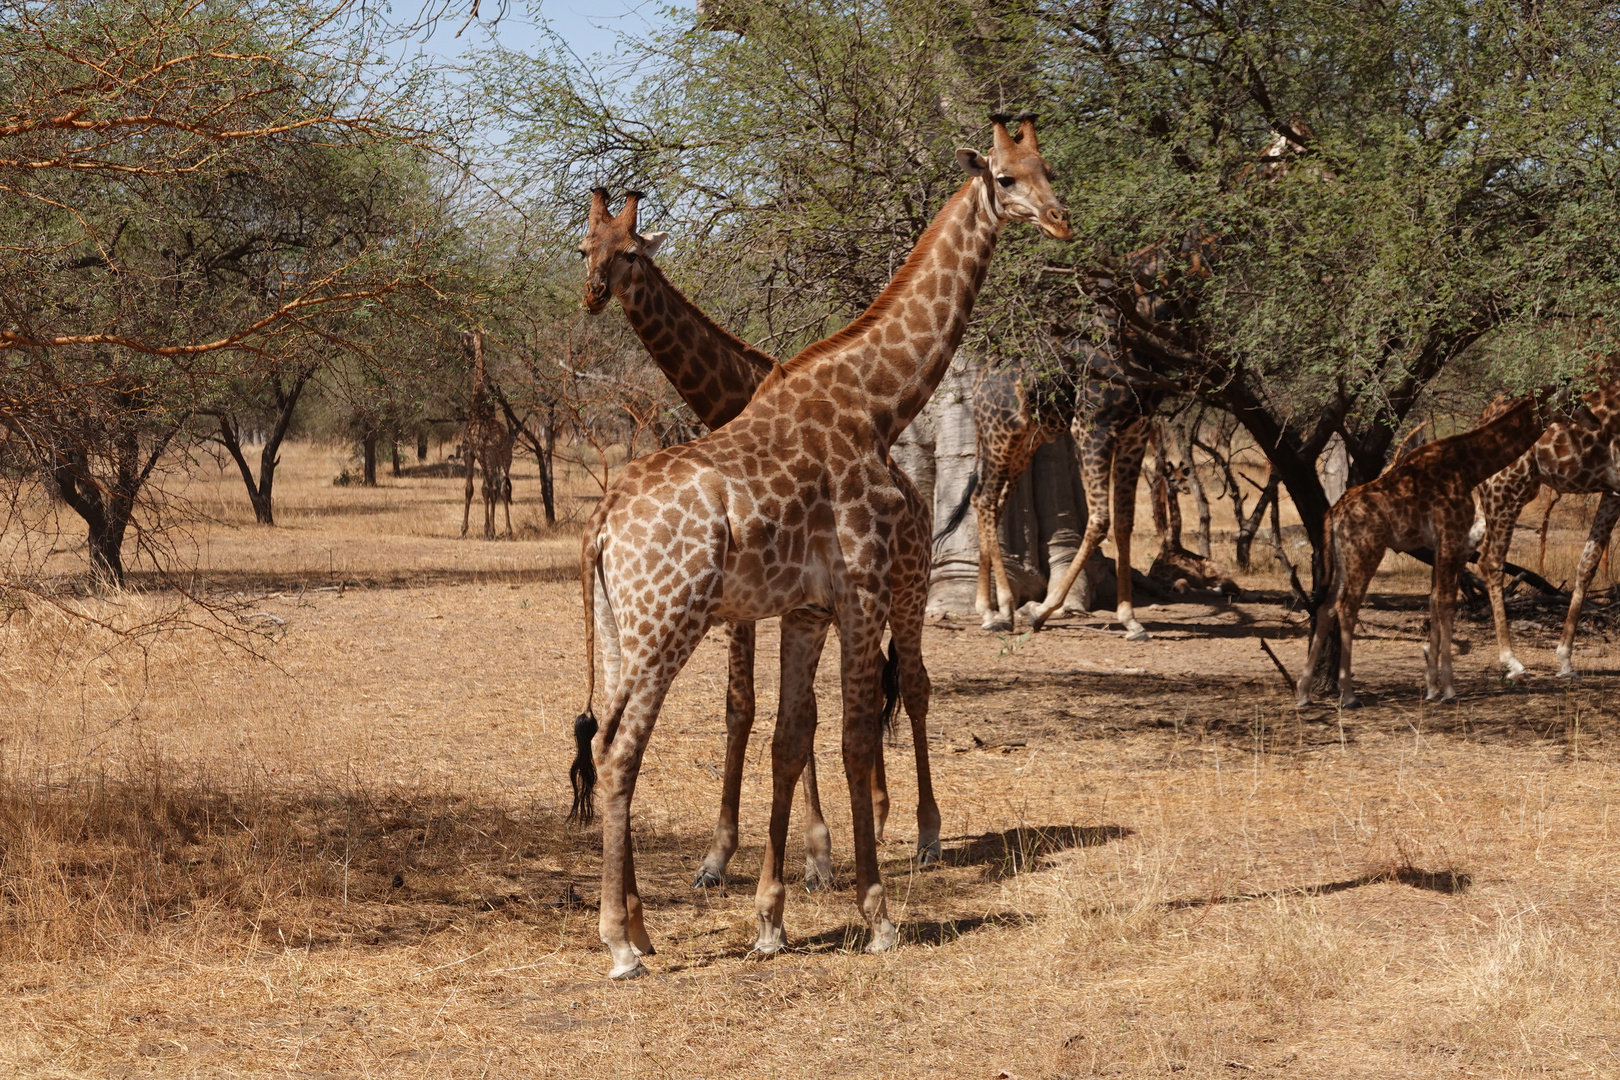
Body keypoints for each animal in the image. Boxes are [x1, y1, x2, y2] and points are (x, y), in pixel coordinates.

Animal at [576, 190, 946, 893]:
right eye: (585, 247)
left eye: (631, 252)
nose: (593, 293)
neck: (732, 399)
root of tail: (914, 493)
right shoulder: (750, 602)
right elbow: (743, 708)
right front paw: (719, 857)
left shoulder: (785, 595)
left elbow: (797, 713)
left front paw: (818, 856)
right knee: (874, 689)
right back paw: (880, 811)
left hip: (912, 587)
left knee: (913, 682)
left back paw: (927, 832)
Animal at [1289, 396, 1568, 709]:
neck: (1467, 467)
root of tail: (1335, 514)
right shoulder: (1452, 539)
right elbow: (1446, 604)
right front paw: (1448, 689)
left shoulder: (1443, 548)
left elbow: (1435, 602)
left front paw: (1432, 687)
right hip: (1365, 552)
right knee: (1346, 607)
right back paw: (1348, 694)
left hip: (1342, 558)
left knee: (1326, 607)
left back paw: (1304, 692)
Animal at [1483, 380, 1620, 680]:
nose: (1596, 424)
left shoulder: (1614, 490)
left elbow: (1587, 565)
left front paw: (1565, 659)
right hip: (1508, 486)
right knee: (1491, 561)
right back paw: (1511, 660)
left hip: (1515, 490)